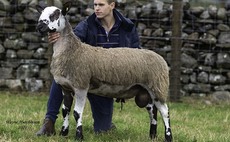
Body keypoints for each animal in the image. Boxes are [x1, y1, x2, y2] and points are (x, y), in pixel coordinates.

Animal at [35, 1, 172, 141]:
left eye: (55, 14)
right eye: (41, 13)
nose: (39, 26)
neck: (72, 50)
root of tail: (160, 58)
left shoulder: (81, 86)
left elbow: (77, 113)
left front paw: (79, 136)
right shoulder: (65, 87)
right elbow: (65, 111)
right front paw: (63, 133)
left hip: (158, 86)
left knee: (165, 111)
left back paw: (168, 136)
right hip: (146, 90)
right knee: (153, 110)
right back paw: (152, 135)